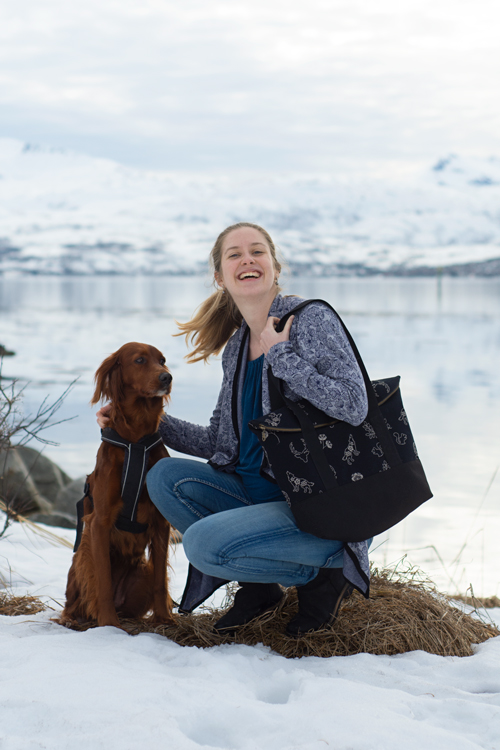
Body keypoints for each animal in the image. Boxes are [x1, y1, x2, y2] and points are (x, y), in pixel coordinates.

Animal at [60, 344, 174, 632]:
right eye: (140, 360)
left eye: (162, 360)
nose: (167, 378)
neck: (135, 440)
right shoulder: (99, 523)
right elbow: (102, 580)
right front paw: (109, 624)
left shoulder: (161, 524)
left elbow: (161, 581)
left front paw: (164, 619)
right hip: (82, 556)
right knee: (74, 601)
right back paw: (73, 618)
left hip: (141, 572)